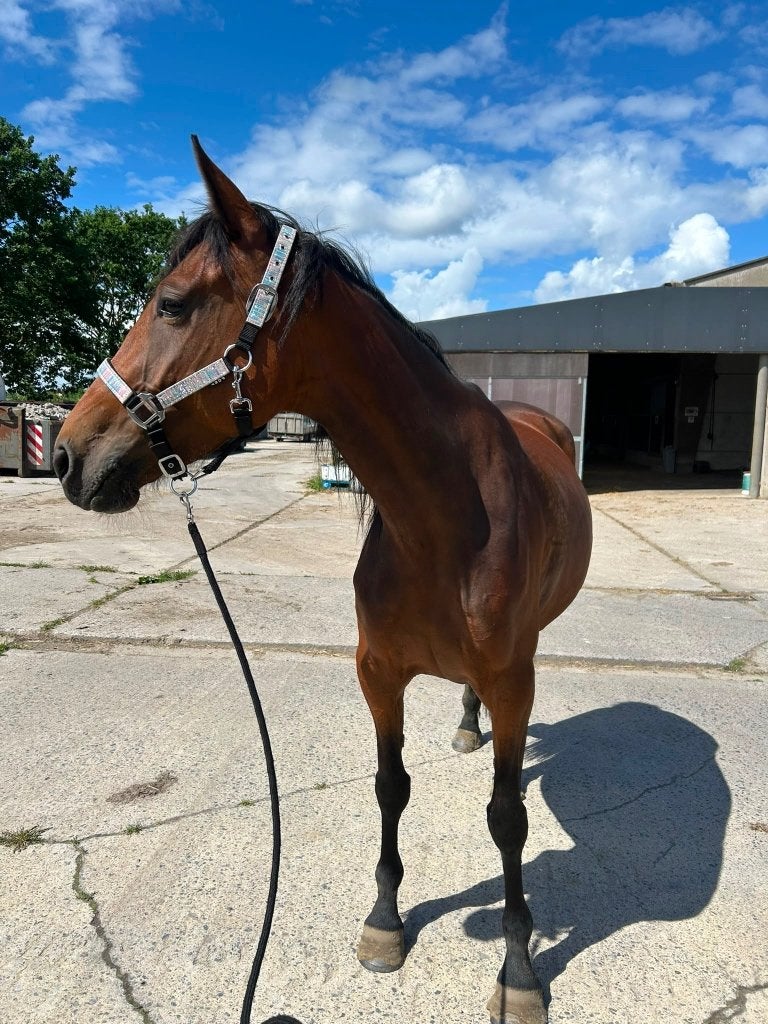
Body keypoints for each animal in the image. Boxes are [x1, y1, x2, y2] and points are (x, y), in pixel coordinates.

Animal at [54, 137, 592, 1024]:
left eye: (172, 305)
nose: (67, 456)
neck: (443, 521)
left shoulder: (516, 681)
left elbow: (507, 818)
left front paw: (518, 969)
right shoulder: (377, 672)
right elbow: (390, 787)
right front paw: (385, 923)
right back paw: (465, 727)